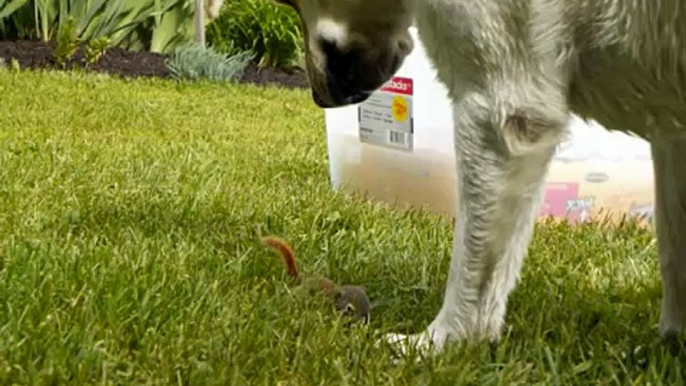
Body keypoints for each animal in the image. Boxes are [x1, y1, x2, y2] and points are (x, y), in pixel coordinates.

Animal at [274, 0, 686, 356]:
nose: (319, 96)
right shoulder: (674, 135)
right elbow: (674, 252)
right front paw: (670, 342)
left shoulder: (503, 112)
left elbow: (473, 271)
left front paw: (438, 344)